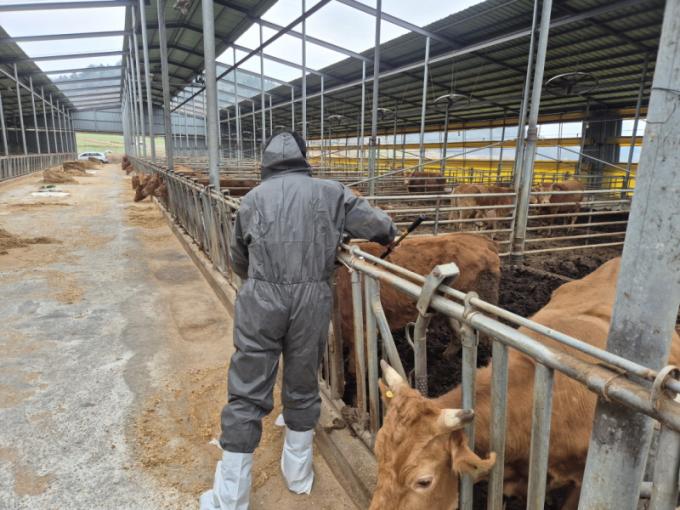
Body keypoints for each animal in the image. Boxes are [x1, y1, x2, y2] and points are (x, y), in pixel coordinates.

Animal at [335, 233, 501, 376]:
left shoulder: (360, 329)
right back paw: (445, 357)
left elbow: (356, 369)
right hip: (449, 308)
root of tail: (481, 239)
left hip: (483, 305)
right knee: (458, 333)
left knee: (490, 338)